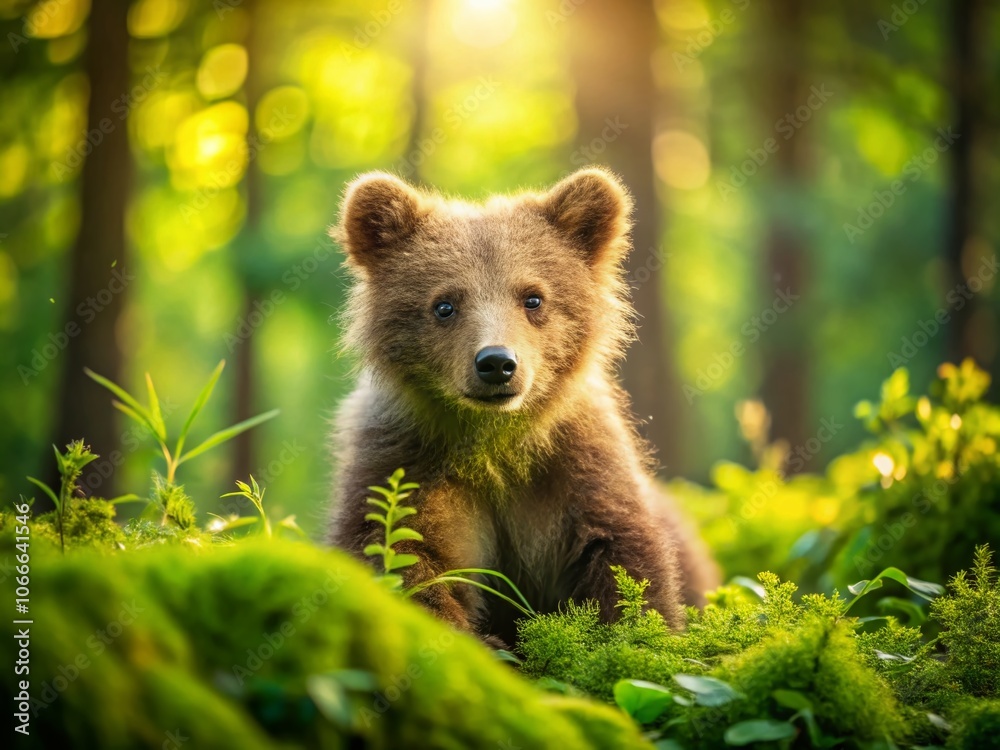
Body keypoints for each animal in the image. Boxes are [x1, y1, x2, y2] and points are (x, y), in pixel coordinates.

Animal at [328, 167, 719, 647]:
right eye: (444, 304)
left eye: (533, 297)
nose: (497, 363)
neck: (495, 444)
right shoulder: (408, 459)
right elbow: (403, 551)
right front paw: (484, 644)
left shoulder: (574, 466)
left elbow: (620, 553)